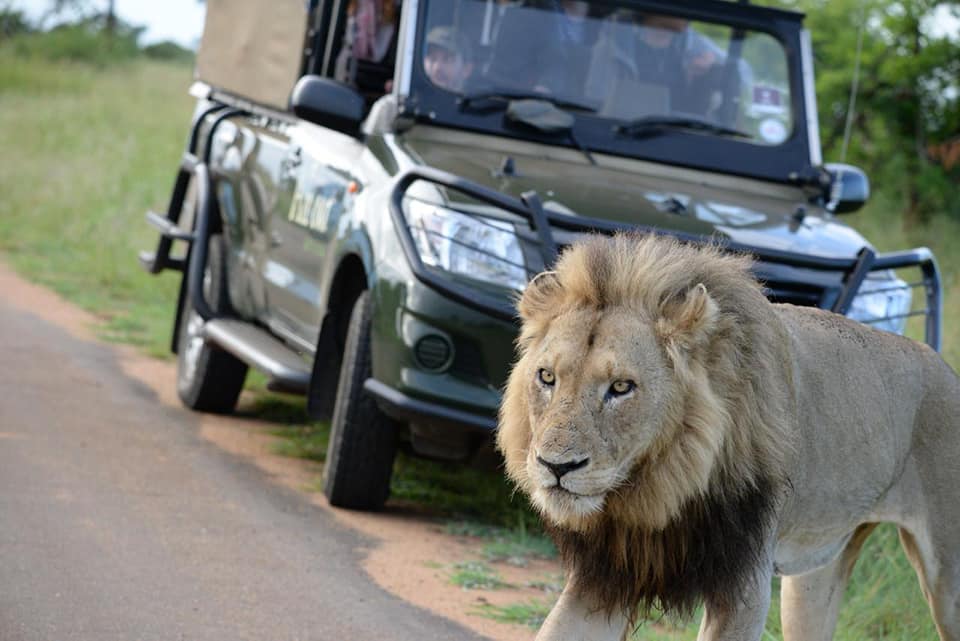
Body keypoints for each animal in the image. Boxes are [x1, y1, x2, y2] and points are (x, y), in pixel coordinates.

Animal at [497, 233, 960, 641]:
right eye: (547, 377)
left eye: (622, 387)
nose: (556, 466)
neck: (662, 486)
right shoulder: (606, 576)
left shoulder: (745, 586)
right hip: (814, 578)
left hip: (947, 577)